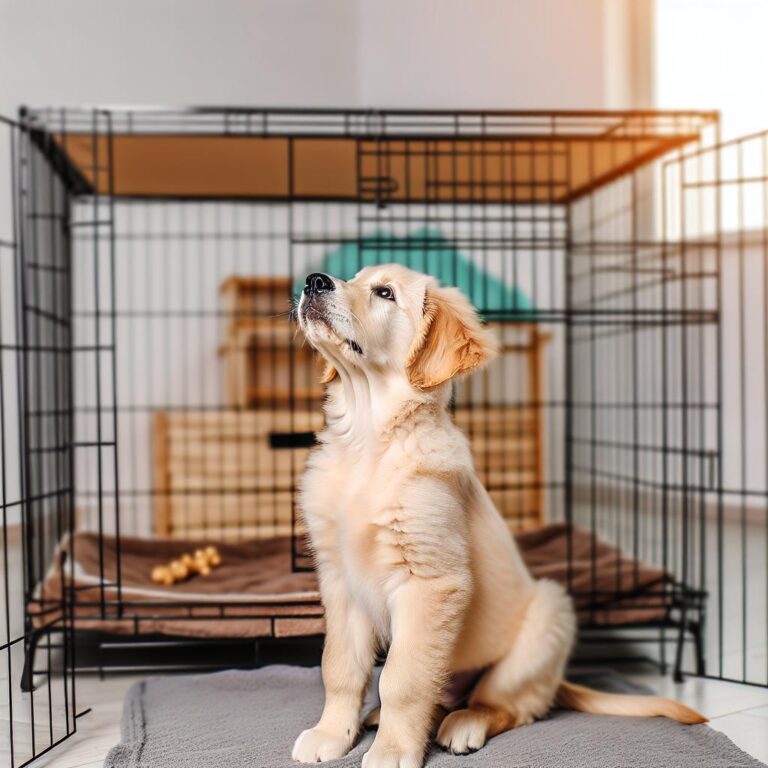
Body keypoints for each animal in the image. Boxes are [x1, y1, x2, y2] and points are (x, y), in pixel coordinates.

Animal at [292, 266, 704, 768]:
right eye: (353, 277)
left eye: (384, 292)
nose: (314, 281)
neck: (370, 441)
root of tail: (556, 682)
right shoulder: (339, 580)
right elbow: (340, 667)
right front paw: (332, 734)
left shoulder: (430, 582)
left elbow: (401, 681)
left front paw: (391, 752)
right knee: (448, 698)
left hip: (546, 618)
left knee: (507, 707)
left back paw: (465, 725)